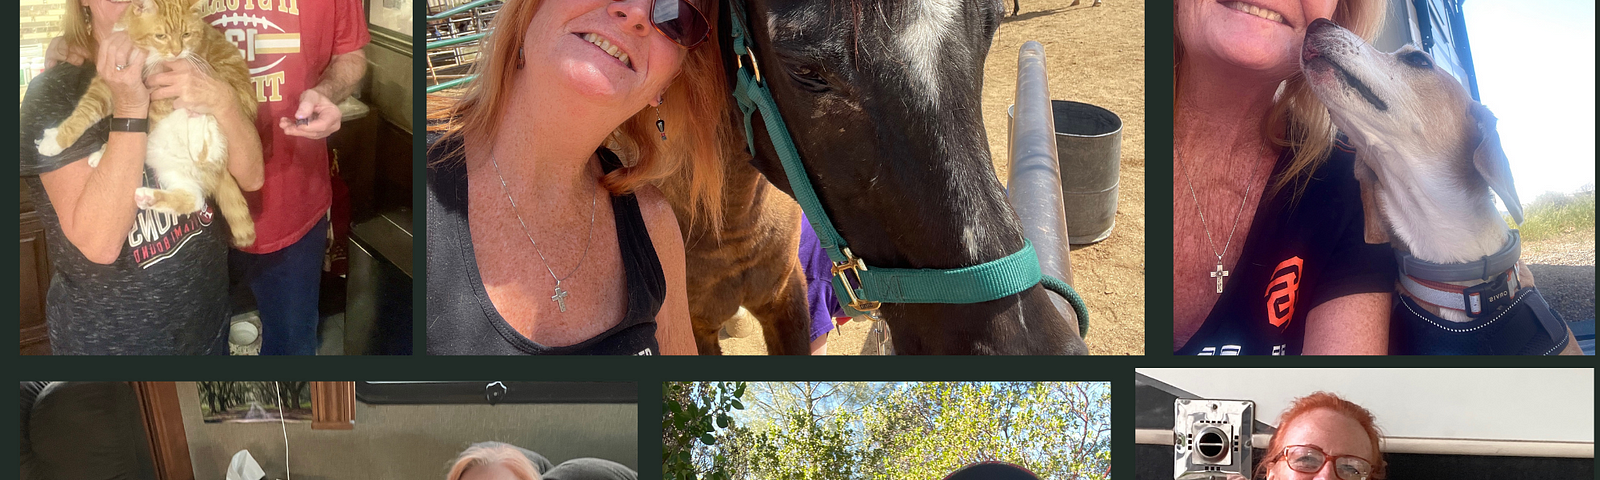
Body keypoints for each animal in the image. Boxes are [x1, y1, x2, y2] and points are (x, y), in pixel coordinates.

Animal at [36, 0, 256, 248]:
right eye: (161, 36)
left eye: (186, 34)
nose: (176, 52)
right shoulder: (107, 85)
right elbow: (85, 112)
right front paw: (56, 140)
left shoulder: (163, 93)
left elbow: (149, 121)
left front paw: (99, 150)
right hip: (173, 171)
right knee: (193, 198)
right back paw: (149, 196)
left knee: (205, 141)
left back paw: (197, 134)